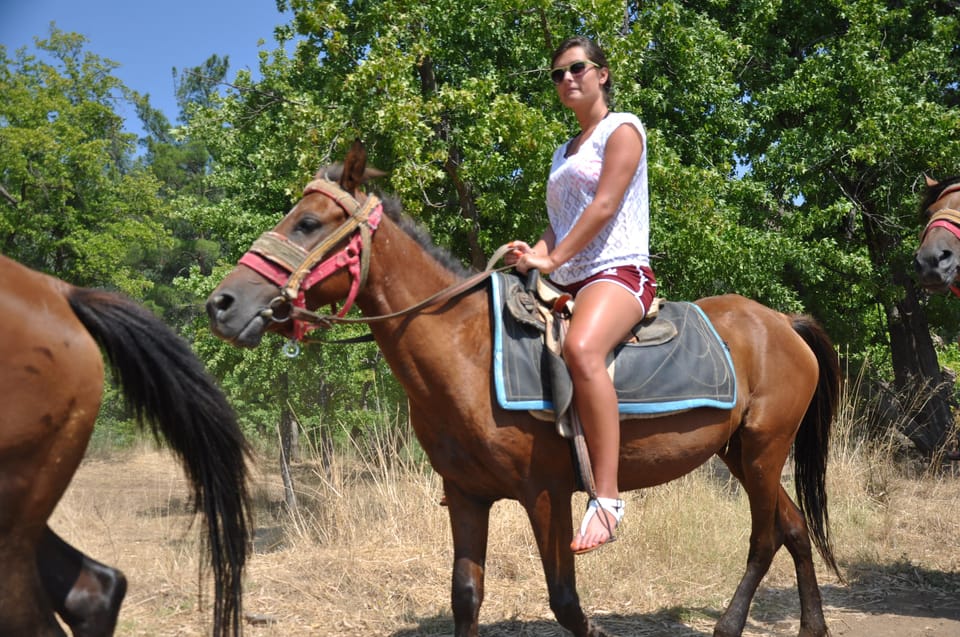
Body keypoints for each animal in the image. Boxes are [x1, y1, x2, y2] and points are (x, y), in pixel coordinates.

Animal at [204, 143, 840, 636]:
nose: (222, 304)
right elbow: (466, 597)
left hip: (762, 450)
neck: (466, 349)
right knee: (792, 528)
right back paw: (812, 624)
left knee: (764, 537)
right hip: (741, 452)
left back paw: (731, 624)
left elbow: (566, 604)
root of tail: (782, 323)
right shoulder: (466, 495)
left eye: (308, 223)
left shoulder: (546, 494)